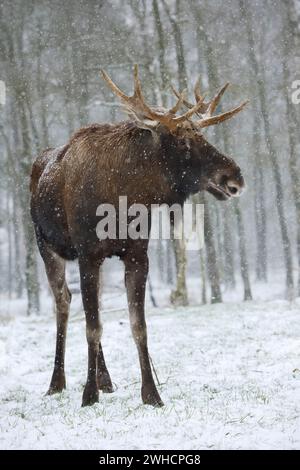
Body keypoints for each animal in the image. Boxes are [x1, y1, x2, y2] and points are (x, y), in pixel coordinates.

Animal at [29, 66, 246, 408]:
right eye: (183, 143)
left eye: (204, 137)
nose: (235, 176)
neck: (125, 198)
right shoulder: (88, 254)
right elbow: (93, 327)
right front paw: (88, 395)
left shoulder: (136, 254)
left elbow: (137, 325)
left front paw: (151, 393)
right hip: (47, 246)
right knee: (63, 301)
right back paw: (57, 382)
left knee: (89, 303)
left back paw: (105, 380)